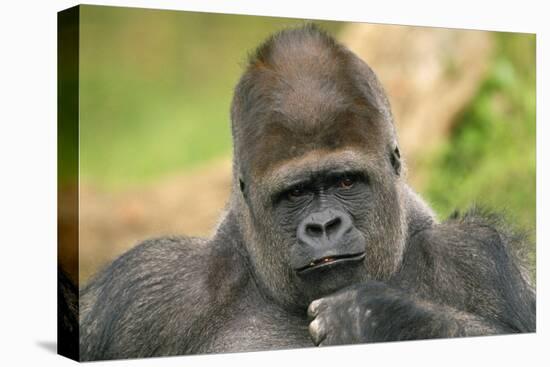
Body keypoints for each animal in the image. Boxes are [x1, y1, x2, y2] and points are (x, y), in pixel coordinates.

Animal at [76, 25, 536, 362]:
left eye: (345, 182)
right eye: (296, 193)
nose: (323, 226)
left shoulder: (476, 257)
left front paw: (378, 320)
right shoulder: (149, 284)